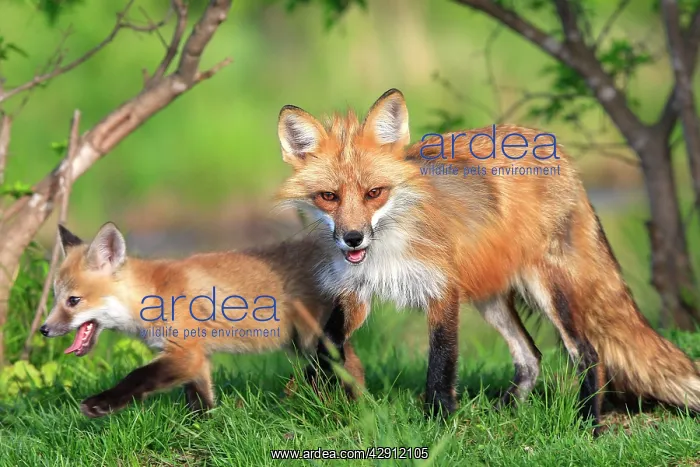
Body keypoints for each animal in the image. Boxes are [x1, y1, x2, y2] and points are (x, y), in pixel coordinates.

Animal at [40, 222, 365, 418]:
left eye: (73, 301)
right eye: (56, 298)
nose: (44, 329)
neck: (152, 296)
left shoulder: (185, 352)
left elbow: (137, 376)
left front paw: (101, 403)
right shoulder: (196, 358)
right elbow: (200, 399)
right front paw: (205, 426)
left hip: (314, 340)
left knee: (350, 368)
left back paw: (351, 410)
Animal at [275, 88, 700, 433]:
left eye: (374, 193)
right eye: (328, 197)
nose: (353, 238)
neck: (388, 245)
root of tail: (559, 153)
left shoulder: (442, 289)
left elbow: (441, 364)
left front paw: (438, 424)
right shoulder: (356, 291)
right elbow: (326, 343)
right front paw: (315, 391)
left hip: (548, 291)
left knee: (589, 354)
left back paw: (588, 424)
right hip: (489, 297)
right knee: (531, 357)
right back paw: (506, 413)